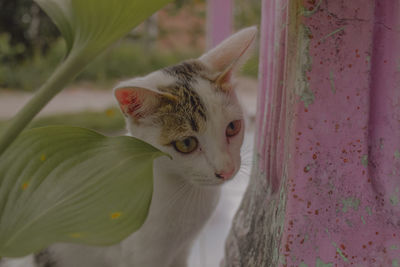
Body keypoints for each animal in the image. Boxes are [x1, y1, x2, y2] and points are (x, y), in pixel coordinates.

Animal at [0, 25, 256, 267]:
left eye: (232, 127)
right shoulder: (140, 255)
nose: (227, 171)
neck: (181, 189)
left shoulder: (182, 251)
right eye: (186, 143)